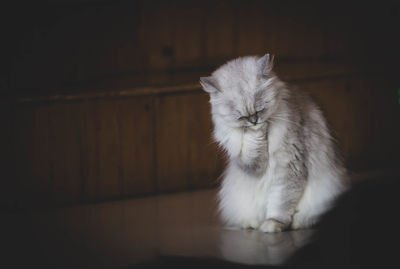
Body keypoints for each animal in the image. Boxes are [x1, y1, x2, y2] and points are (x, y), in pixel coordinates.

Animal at [200, 53, 350, 231]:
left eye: (260, 109)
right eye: (241, 117)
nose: (254, 121)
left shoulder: (288, 166)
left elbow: (280, 203)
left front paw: (272, 224)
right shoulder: (250, 163)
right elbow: (252, 148)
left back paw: (296, 224)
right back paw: (252, 225)